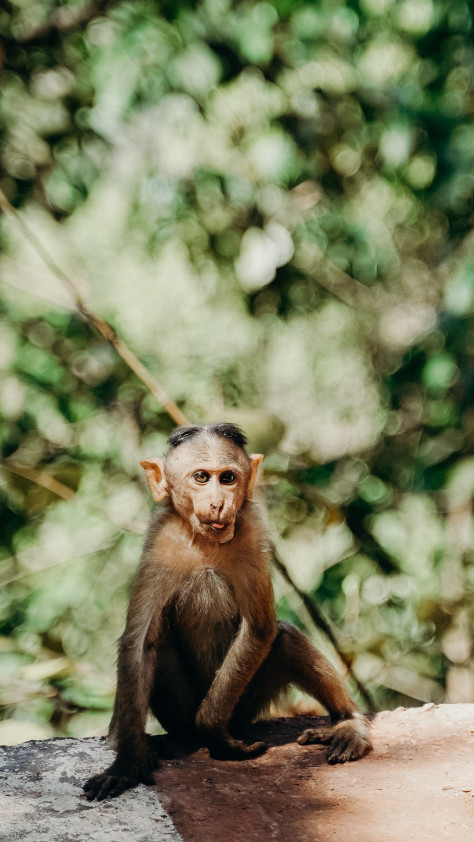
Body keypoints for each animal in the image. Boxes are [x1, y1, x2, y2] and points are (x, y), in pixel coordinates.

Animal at [83, 424, 370, 796]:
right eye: (201, 477)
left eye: (229, 478)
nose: (219, 503)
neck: (206, 541)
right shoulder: (160, 546)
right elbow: (140, 643)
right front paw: (127, 762)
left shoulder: (252, 533)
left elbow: (261, 628)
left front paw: (215, 734)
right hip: (180, 711)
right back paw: (175, 740)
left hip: (244, 707)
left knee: (287, 637)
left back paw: (347, 722)